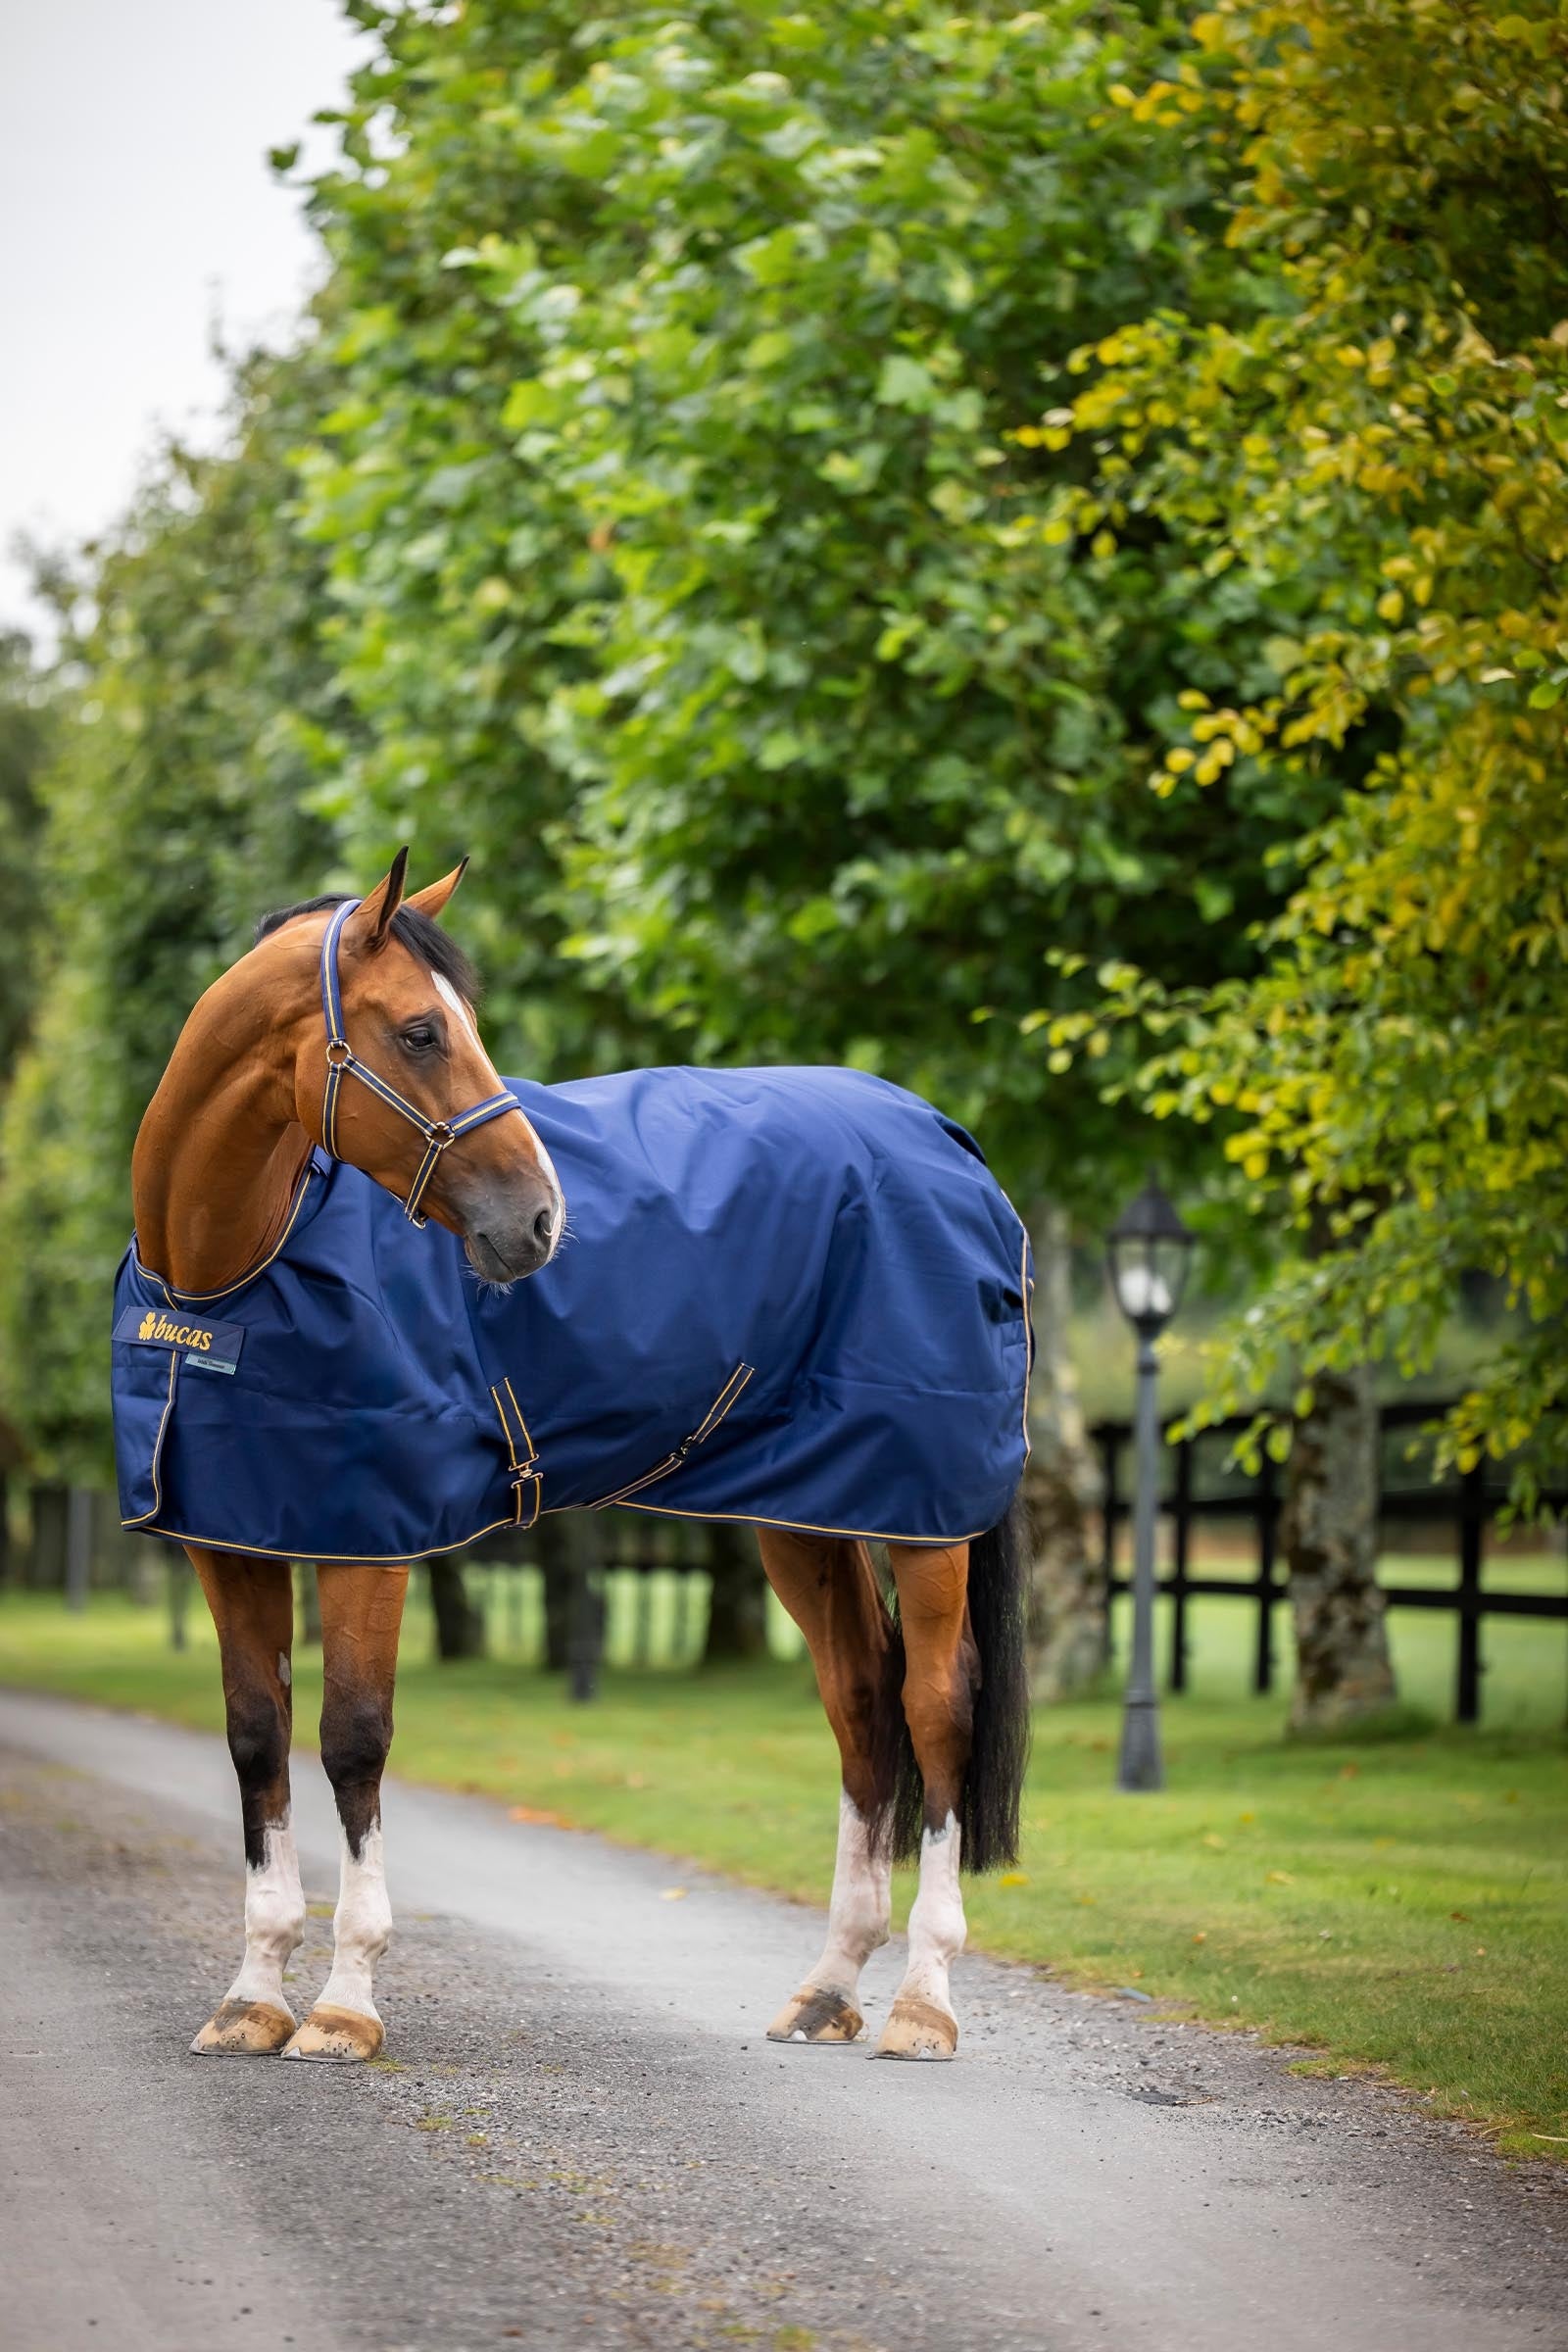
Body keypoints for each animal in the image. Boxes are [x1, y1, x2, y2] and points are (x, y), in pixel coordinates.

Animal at [116, 852, 1033, 2065]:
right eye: (420, 1032)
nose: (543, 1221)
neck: (231, 1271)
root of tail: (947, 1138)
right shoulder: (231, 1539)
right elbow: (256, 1742)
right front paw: (254, 1997)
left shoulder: (370, 1543)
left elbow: (353, 1742)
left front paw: (346, 2005)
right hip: (813, 1514)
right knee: (862, 1708)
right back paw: (828, 1987)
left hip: (924, 1513)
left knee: (935, 1712)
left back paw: (924, 2002)